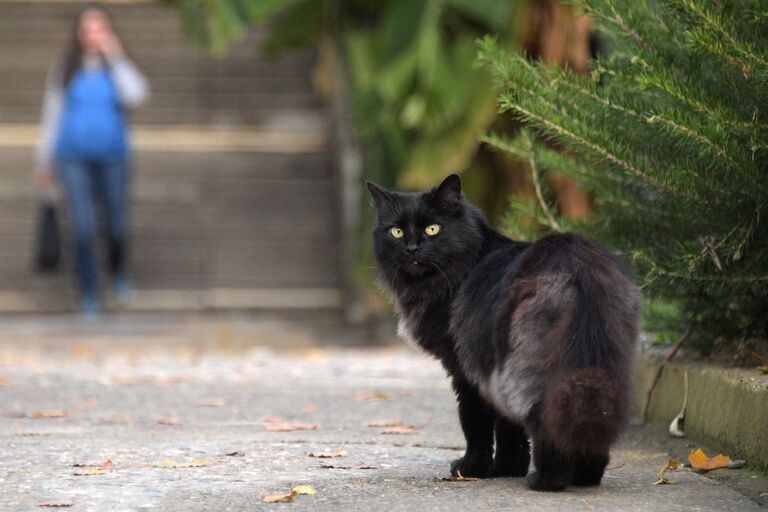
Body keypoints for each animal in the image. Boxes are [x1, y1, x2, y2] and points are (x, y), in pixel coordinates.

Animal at [368, 175, 640, 492]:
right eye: (396, 231)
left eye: (433, 228)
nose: (411, 248)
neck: (468, 261)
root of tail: (578, 266)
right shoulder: (493, 369)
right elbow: (509, 427)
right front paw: (508, 468)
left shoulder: (467, 371)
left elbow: (476, 423)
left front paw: (472, 468)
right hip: (600, 362)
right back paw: (585, 477)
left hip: (532, 365)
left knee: (544, 417)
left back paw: (547, 480)